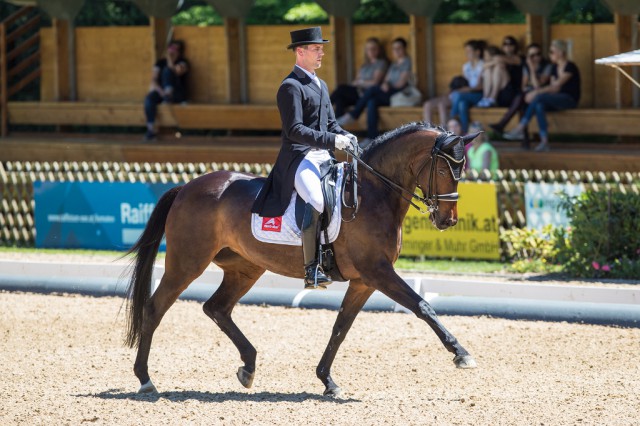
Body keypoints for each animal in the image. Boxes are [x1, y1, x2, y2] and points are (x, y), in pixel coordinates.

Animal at [125, 122, 478, 396]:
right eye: (445, 168)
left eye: (461, 170)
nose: (448, 220)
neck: (373, 193)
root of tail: (187, 186)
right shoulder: (378, 272)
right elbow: (423, 307)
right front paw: (461, 354)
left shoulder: (364, 281)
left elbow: (341, 327)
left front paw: (327, 380)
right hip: (187, 263)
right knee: (155, 308)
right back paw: (145, 379)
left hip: (245, 268)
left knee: (217, 308)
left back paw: (248, 366)